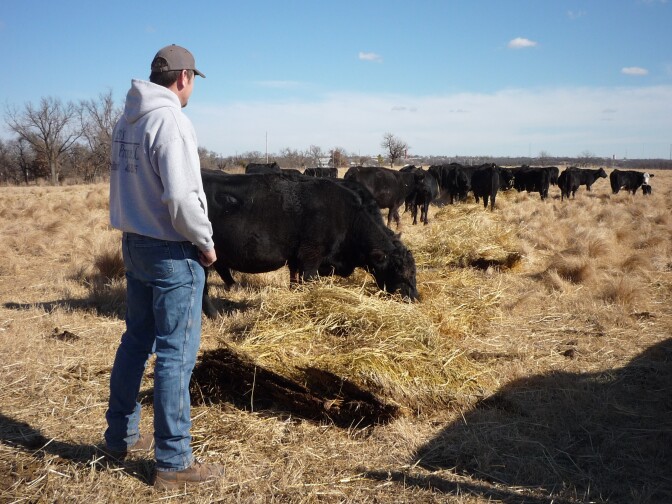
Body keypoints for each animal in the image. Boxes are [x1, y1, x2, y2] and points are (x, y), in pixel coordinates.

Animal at [200, 171, 418, 318]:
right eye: (400, 272)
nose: (416, 299)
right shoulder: (311, 258)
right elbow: (308, 282)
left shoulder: (296, 259)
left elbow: (294, 282)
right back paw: (215, 315)